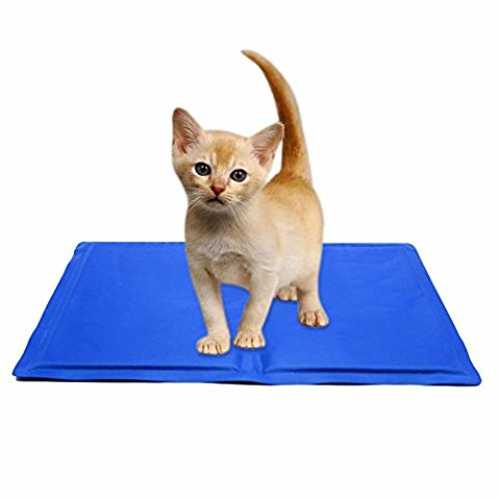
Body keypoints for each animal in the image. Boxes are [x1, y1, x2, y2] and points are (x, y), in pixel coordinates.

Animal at [172, 50, 329, 355]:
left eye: (238, 175)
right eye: (203, 169)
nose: (218, 188)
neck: (221, 228)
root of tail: (290, 175)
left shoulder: (264, 271)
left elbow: (255, 307)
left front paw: (247, 335)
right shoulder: (199, 270)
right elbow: (211, 310)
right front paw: (217, 339)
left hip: (311, 253)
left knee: (310, 282)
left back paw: (311, 309)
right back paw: (287, 290)